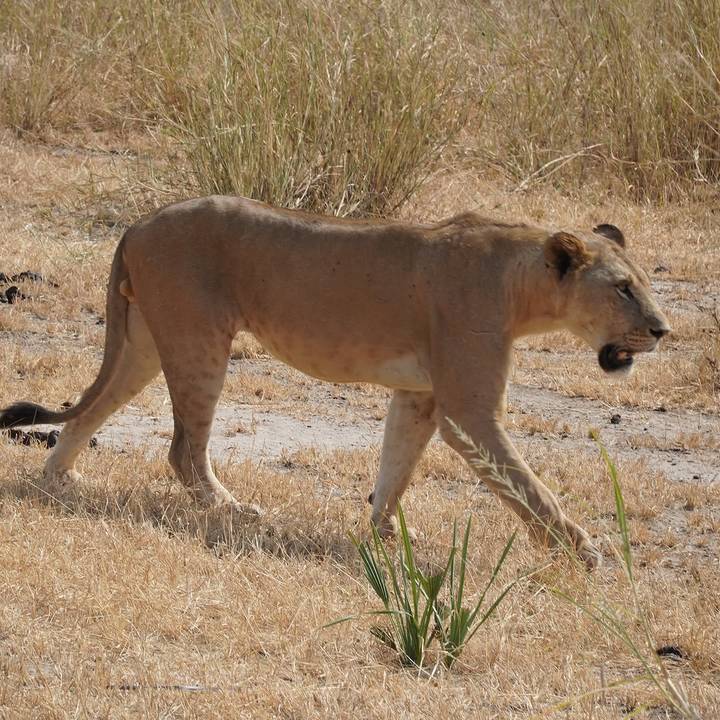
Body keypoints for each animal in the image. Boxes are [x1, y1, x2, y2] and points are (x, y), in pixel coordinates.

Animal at [0, 196, 670, 568]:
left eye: (644, 283)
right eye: (622, 288)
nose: (663, 329)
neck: (521, 283)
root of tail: (139, 222)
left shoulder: (421, 395)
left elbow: (395, 469)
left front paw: (384, 541)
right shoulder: (467, 410)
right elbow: (528, 487)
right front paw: (584, 551)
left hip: (143, 341)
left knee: (91, 411)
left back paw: (60, 483)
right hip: (199, 341)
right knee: (183, 449)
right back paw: (235, 511)